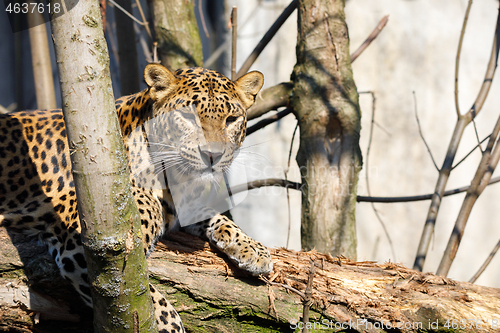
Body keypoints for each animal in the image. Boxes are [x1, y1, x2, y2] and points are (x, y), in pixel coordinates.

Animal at [0, 63, 274, 330]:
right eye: (188, 116)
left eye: (231, 119)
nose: (213, 155)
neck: (175, 180)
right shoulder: (88, 243)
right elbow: (149, 300)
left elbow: (214, 215)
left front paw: (254, 249)